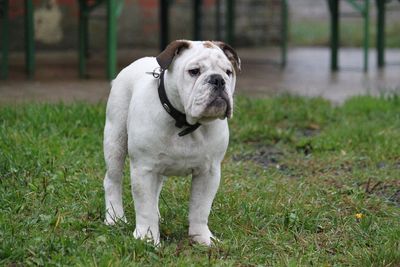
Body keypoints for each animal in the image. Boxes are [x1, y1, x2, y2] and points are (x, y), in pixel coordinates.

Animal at [104, 39, 241, 247]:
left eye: (228, 72)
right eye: (194, 71)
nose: (218, 80)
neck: (184, 122)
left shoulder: (209, 172)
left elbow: (200, 208)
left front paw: (202, 238)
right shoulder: (144, 169)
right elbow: (144, 208)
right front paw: (147, 238)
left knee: (156, 190)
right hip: (115, 140)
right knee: (113, 180)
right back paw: (114, 217)